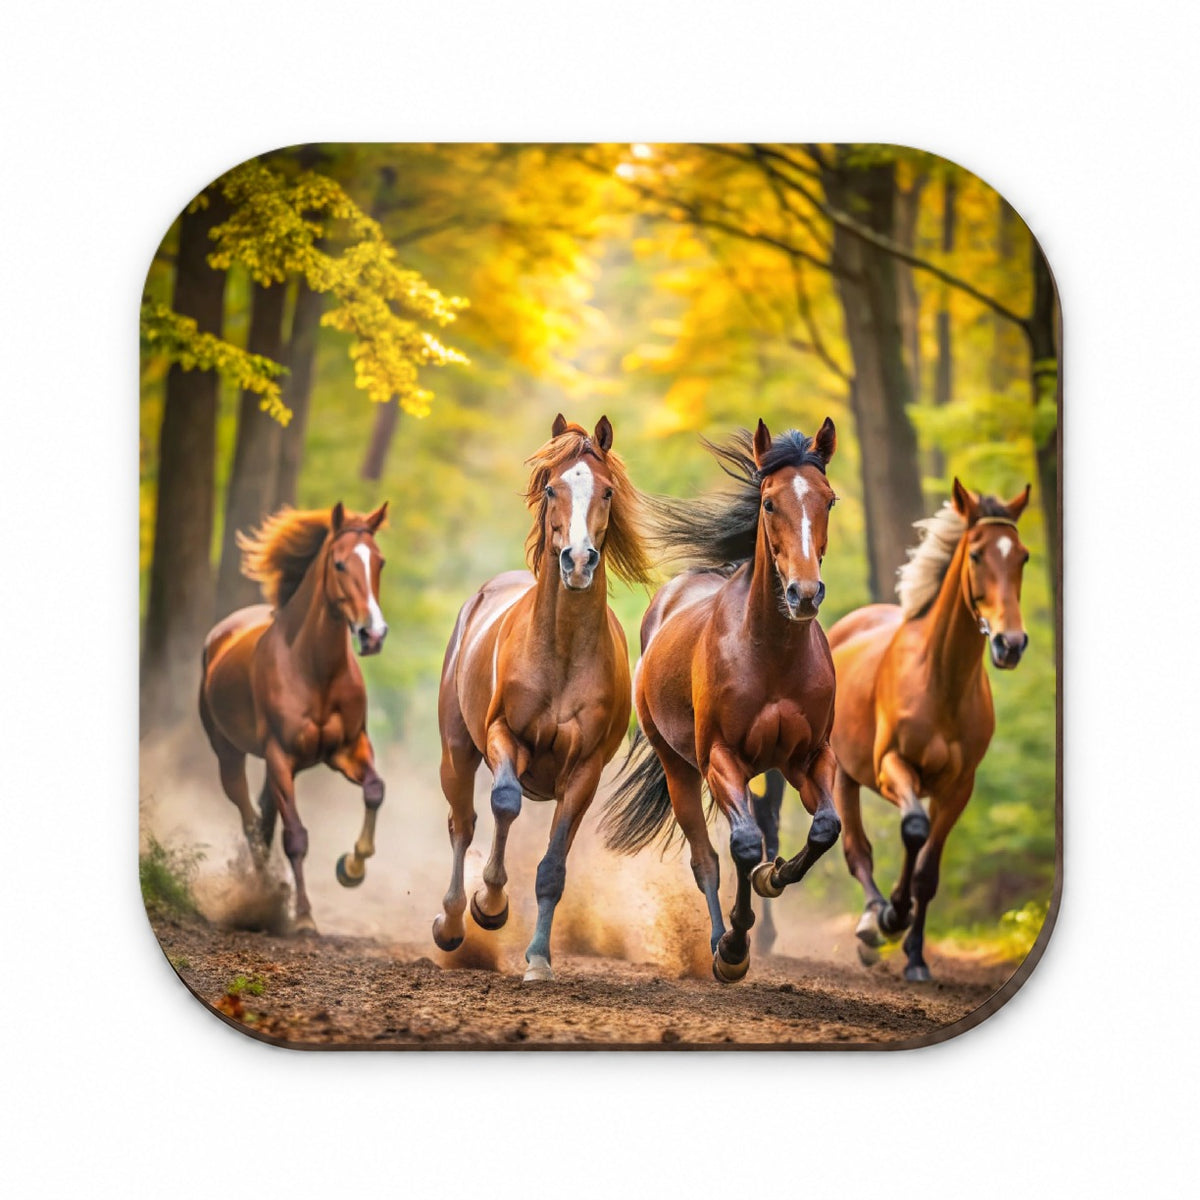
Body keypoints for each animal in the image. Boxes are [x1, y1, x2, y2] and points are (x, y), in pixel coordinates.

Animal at [198, 501, 390, 933]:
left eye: (380, 562)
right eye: (339, 563)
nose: (373, 634)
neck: (314, 668)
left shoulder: (348, 748)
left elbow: (375, 790)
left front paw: (352, 868)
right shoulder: (280, 755)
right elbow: (296, 837)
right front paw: (303, 917)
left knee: (263, 819)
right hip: (229, 755)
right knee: (252, 822)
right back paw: (261, 893)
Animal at [431, 414, 654, 982]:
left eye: (607, 490)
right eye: (552, 487)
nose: (577, 561)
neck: (562, 651)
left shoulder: (585, 770)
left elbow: (553, 866)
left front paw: (537, 960)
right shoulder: (503, 735)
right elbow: (504, 802)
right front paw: (490, 904)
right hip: (457, 751)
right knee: (463, 822)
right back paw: (453, 922)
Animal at [601, 418, 841, 984]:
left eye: (829, 500)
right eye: (769, 503)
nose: (804, 594)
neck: (771, 654)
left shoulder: (809, 757)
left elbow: (824, 828)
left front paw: (775, 876)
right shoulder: (720, 758)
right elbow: (743, 844)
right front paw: (734, 946)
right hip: (680, 768)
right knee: (706, 857)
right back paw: (719, 942)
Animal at [827, 478, 1031, 982]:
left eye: (1022, 556)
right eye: (976, 554)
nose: (1010, 644)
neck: (940, 681)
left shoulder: (958, 787)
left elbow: (927, 871)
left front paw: (917, 957)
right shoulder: (892, 766)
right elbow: (914, 829)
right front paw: (892, 914)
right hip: (843, 772)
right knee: (857, 850)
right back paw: (872, 922)